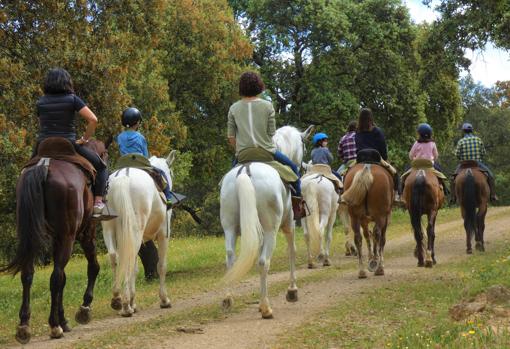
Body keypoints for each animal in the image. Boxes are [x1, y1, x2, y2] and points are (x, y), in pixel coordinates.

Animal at [0, 137, 108, 342]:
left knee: (28, 274)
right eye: (105, 154)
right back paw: (54, 326)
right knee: (56, 277)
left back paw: (24, 326)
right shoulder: (85, 233)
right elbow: (92, 267)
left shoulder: (56, 239)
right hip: (68, 236)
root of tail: (44, 166)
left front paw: (64, 319)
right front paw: (83, 309)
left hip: (31, 236)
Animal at [101, 150, 177, 316]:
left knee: (115, 257)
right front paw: (164, 300)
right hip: (135, 231)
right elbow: (161, 266)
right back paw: (125, 306)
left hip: (109, 229)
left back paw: (118, 298)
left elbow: (134, 269)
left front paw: (133, 301)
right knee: (127, 261)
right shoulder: (164, 235)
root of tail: (123, 177)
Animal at [220, 125, 312, 318]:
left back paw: (228, 299)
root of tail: (245, 170)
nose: (303, 167)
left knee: (230, 258)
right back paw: (265, 307)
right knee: (263, 262)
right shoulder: (289, 224)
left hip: (230, 228)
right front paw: (292, 291)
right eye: (304, 147)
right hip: (271, 230)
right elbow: (292, 250)